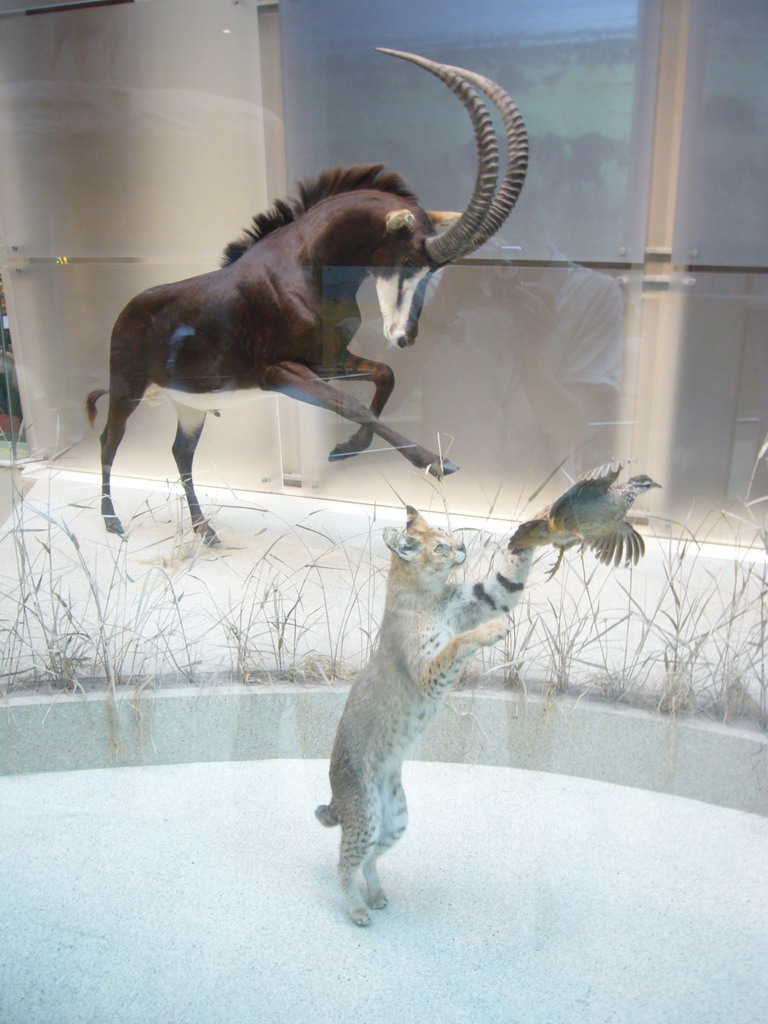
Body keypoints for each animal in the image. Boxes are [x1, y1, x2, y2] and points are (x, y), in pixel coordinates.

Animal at [85, 48, 528, 544]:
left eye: (436, 269)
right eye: (411, 258)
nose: (405, 336)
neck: (306, 268)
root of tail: (130, 308)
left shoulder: (328, 360)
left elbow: (385, 376)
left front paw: (346, 449)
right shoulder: (279, 371)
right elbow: (353, 404)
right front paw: (434, 461)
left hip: (190, 404)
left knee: (181, 451)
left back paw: (206, 531)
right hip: (128, 388)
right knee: (108, 440)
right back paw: (113, 521)